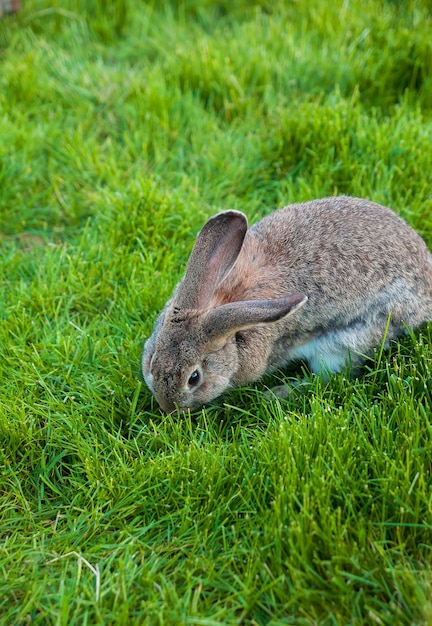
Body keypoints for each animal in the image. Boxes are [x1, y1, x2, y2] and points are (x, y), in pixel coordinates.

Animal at [143, 195, 432, 410]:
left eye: (194, 378)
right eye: (153, 357)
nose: (168, 408)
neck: (222, 304)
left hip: (347, 340)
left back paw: (277, 393)